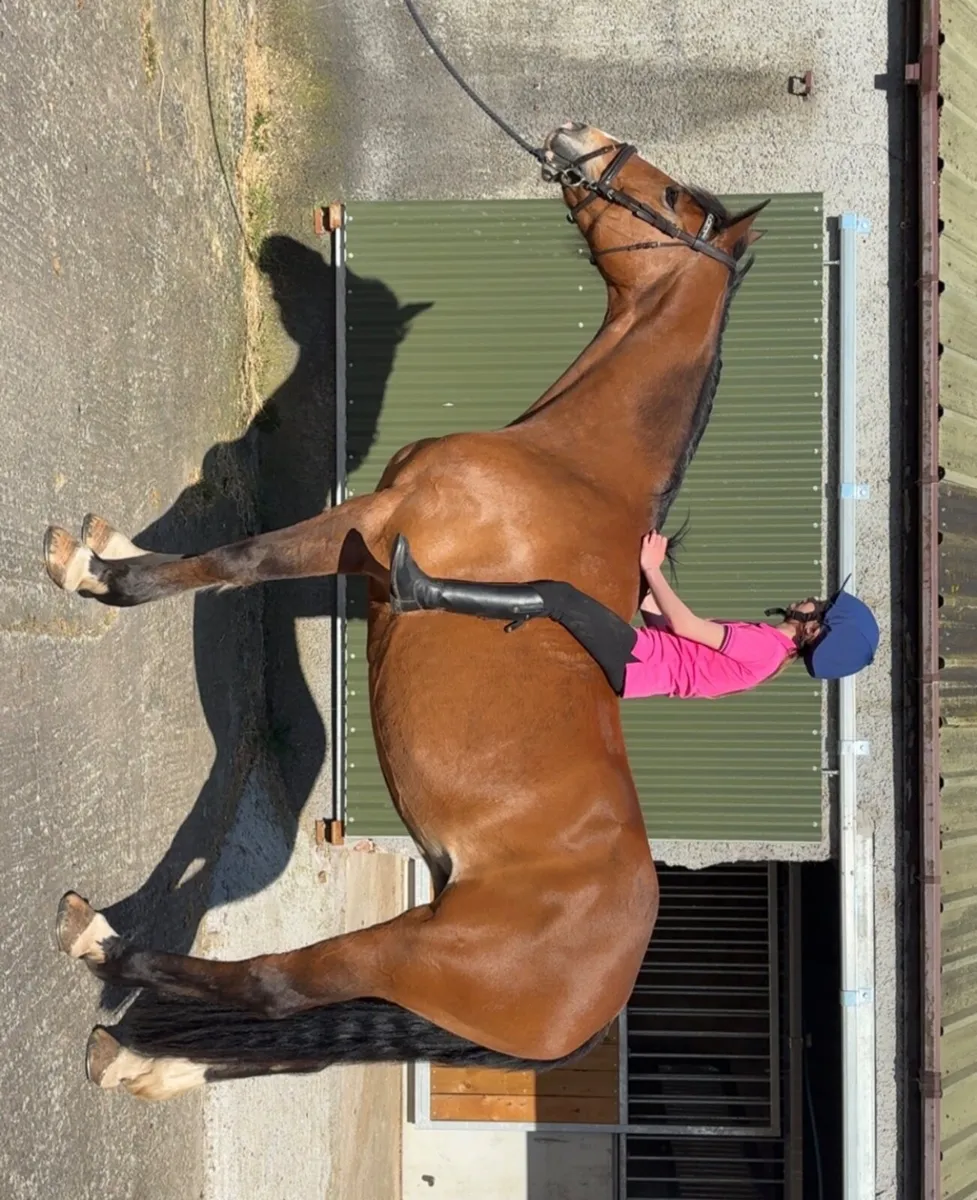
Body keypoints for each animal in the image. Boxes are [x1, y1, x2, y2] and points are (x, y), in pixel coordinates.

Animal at [45, 122, 766, 1100]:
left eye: (676, 198)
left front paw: (94, 575)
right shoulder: (368, 554)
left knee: (271, 988)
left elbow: (236, 560)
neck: (574, 467)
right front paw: (109, 548)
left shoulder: (370, 525)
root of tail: (599, 1007)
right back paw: (140, 1060)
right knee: (288, 1041)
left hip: (398, 953)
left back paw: (104, 945)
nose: (581, 138)